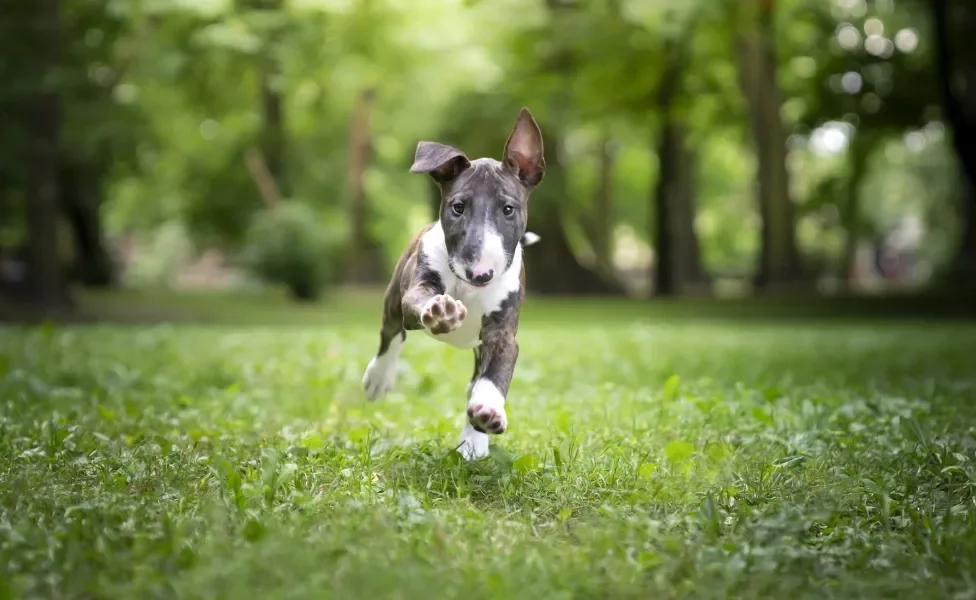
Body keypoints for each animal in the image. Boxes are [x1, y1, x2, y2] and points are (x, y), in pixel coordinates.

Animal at [360, 108, 544, 462]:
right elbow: (420, 303)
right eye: (458, 207)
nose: (480, 274)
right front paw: (441, 311)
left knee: (474, 380)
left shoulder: (502, 333)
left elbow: (495, 374)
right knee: (391, 333)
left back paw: (474, 439)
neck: (468, 289)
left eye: (508, 209)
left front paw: (487, 413)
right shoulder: (417, 289)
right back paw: (379, 377)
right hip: (393, 300)